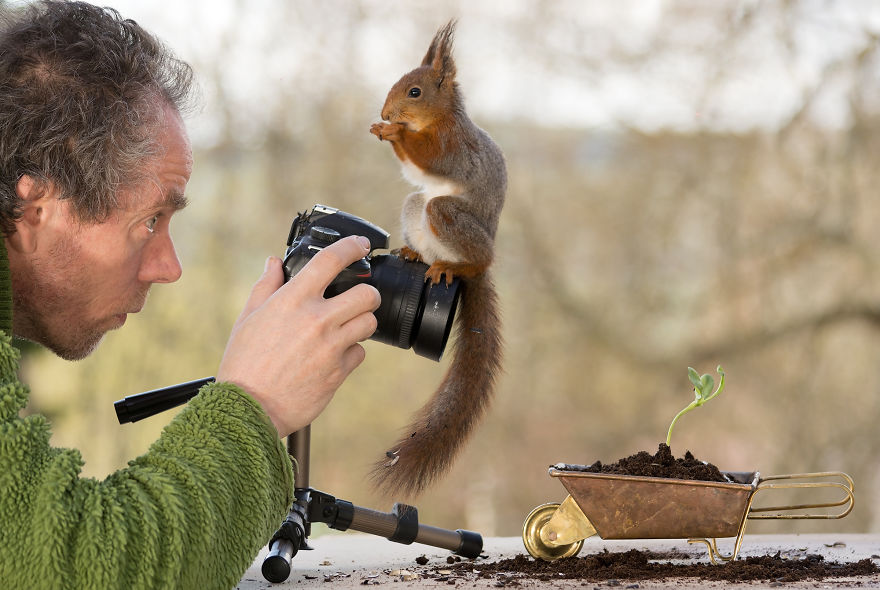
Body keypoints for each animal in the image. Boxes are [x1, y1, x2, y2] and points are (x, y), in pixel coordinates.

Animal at [369, 20, 507, 497]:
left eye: (414, 92)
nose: (386, 111)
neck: (438, 119)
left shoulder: (453, 147)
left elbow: (432, 158)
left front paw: (393, 133)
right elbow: (415, 169)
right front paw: (384, 130)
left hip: (448, 217)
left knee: (473, 258)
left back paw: (456, 266)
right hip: (418, 207)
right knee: (419, 212)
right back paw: (415, 252)